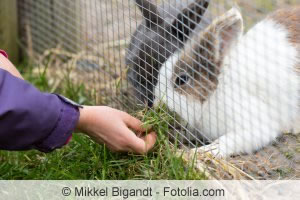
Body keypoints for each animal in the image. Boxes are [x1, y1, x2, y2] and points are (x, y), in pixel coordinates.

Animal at [155, 6, 300, 158]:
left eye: (181, 79)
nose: (158, 105)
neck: (214, 95)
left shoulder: (255, 127)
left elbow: (229, 139)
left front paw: (208, 151)